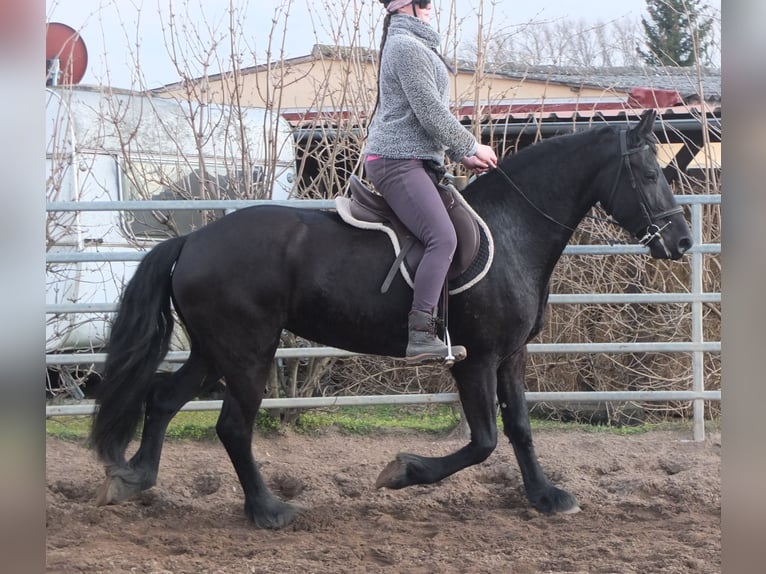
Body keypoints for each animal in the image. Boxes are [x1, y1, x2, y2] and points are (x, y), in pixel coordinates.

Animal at [91, 109, 696, 532]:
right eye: (647, 173)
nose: (683, 241)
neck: (511, 230)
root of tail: (192, 240)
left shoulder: (512, 356)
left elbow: (521, 429)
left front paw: (546, 497)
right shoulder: (474, 360)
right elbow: (484, 440)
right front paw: (403, 472)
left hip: (214, 349)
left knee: (163, 399)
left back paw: (134, 478)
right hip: (247, 353)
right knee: (233, 427)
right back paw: (268, 510)